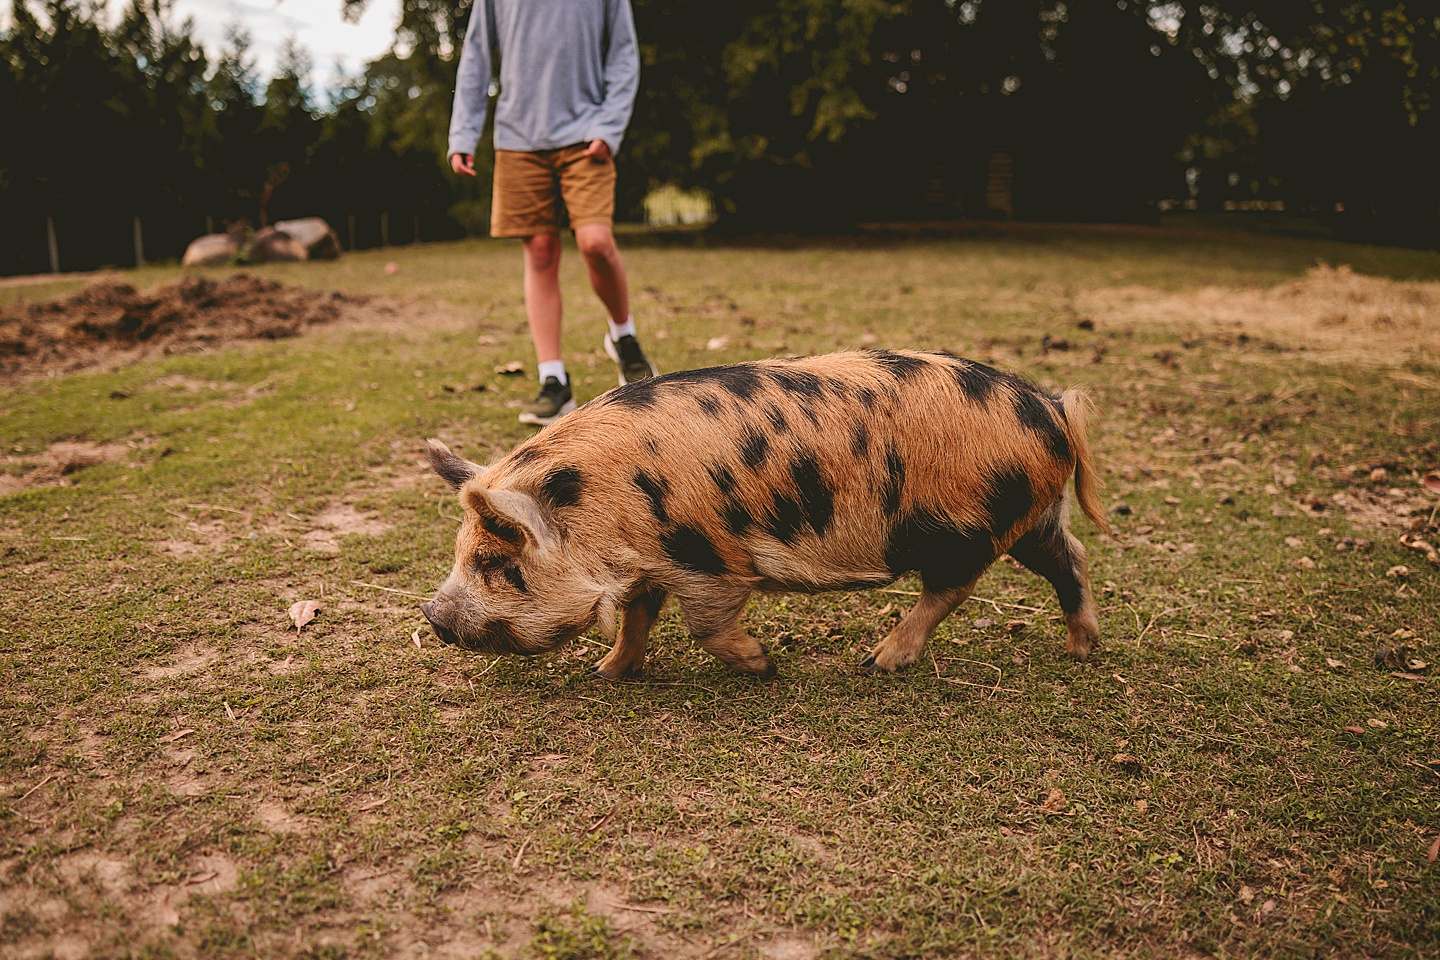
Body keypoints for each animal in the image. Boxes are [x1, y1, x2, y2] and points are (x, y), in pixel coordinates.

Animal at [420, 349, 1105, 679]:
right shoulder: (651, 563)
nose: (432, 615)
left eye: (494, 560)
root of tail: (1051, 406)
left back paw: (876, 662)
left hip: (964, 523)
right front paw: (603, 672)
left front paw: (765, 666)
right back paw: (1081, 652)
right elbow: (636, 618)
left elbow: (704, 626)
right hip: (1033, 515)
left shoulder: (711, 560)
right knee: (1071, 558)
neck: (606, 504)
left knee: (953, 587)